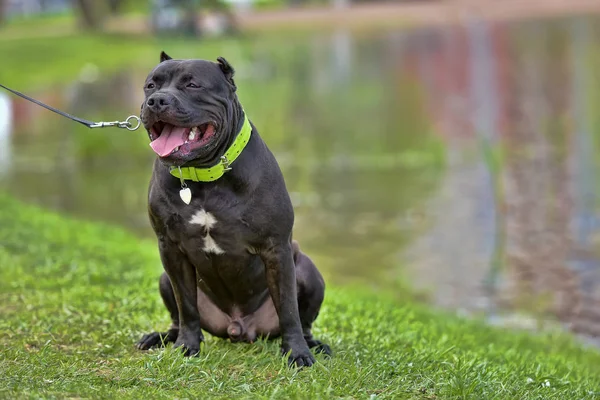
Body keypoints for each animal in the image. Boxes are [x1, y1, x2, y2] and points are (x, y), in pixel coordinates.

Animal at [135, 51, 330, 368]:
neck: (203, 177)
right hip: (165, 277)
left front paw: (297, 353)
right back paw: (162, 337)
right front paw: (187, 346)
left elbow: (289, 309)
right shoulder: (170, 249)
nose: (157, 101)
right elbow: (186, 306)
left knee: (304, 320)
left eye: (192, 84)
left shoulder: (276, 248)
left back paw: (313, 344)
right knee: (177, 315)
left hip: (308, 271)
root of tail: (239, 328)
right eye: (151, 85)